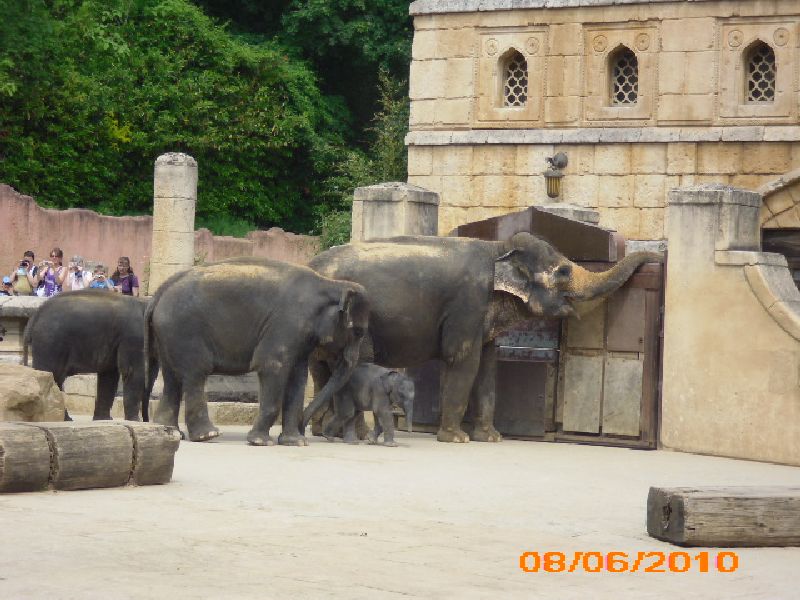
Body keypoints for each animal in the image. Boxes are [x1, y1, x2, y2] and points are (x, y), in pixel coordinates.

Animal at [22, 290, 158, 422]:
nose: (147, 421)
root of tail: (35, 316)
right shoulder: (134, 336)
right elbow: (132, 372)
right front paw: (134, 421)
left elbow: (109, 375)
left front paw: (103, 420)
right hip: (50, 342)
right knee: (53, 375)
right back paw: (60, 419)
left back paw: (65, 419)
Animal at [147, 258, 368, 446]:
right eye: (358, 332)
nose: (308, 430)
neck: (331, 284)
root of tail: (158, 294)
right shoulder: (288, 323)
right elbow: (272, 366)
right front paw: (261, 442)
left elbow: (298, 377)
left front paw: (295, 442)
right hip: (184, 330)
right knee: (196, 373)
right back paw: (207, 435)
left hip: (168, 335)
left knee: (172, 379)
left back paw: (172, 432)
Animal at [304, 232, 660, 442]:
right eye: (563, 272)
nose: (657, 255)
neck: (497, 248)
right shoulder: (468, 303)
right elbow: (462, 358)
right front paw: (456, 439)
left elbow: (488, 365)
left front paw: (491, 438)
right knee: (354, 366)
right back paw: (358, 435)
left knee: (320, 369)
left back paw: (322, 431)